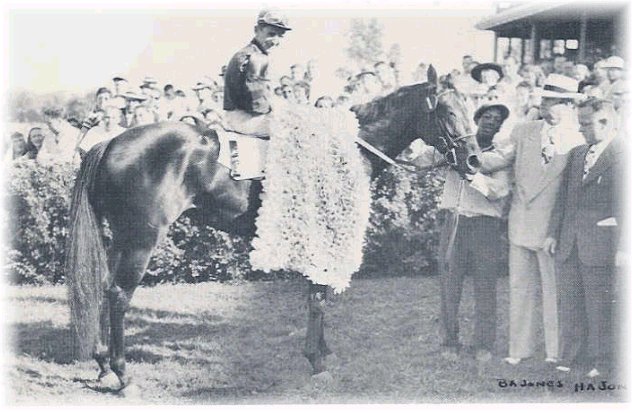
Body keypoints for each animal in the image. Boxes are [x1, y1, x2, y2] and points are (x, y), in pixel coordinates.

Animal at [66, 65, 476, 390]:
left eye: (471, 108)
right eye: (447, 111)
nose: (473, 159)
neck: (348, 146)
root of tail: (110, 142)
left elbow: (318, 296)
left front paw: (323, 351)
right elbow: (317, 298)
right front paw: (316, 360)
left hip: (121, 238)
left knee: (103, 287)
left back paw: (102, 363)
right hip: (142, 239)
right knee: (119, 294)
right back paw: (123, 374)